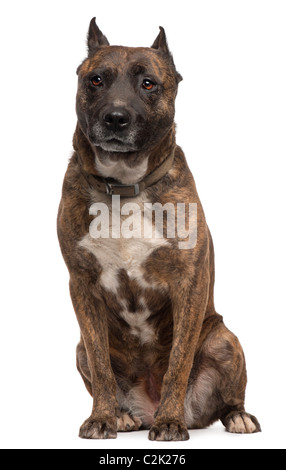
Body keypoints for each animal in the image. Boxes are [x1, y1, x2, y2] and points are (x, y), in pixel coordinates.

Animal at [57, 15, 260, 440]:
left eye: (148, 83)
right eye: (96, 79)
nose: (116, 118)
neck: (123, 187)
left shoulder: (189, 284)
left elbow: (178, 364)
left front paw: (170, 421)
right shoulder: (81, 286)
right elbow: (101, 364)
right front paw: (102, 417)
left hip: (224, 340)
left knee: (226, 394)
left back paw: (235, 416)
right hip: (79, 347)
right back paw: (122, 414)